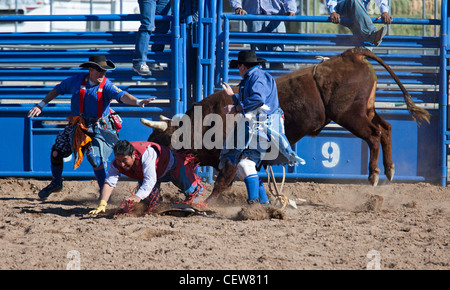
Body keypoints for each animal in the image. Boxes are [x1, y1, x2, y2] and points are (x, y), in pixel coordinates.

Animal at [142, 47, 430, 205]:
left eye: (162, 141)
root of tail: (351, 55)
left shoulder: (232, 155)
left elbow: (223, 180)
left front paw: (209, 203)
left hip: (351, 115)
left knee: (374, 134)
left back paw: (374, 174)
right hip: (365, 110)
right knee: (386, 127)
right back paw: (390, 170)